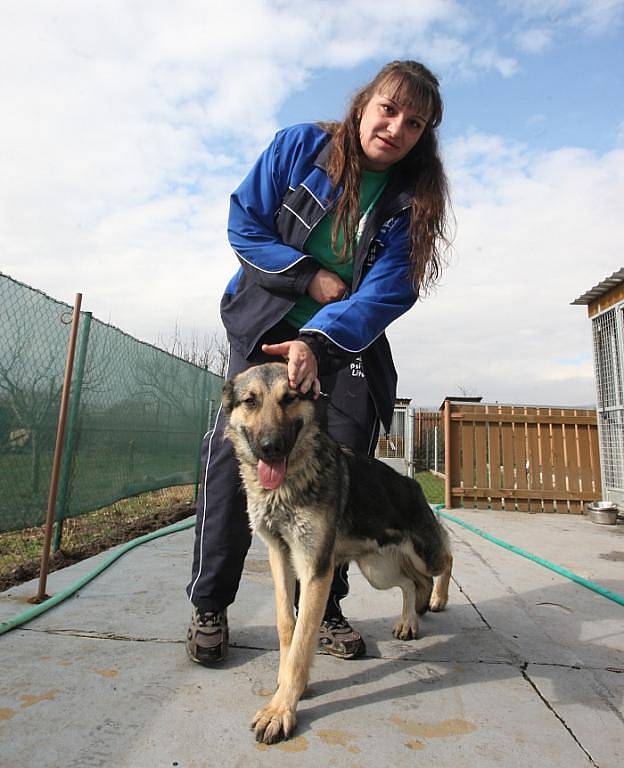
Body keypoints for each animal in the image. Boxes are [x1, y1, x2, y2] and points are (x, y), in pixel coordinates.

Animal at [222, 364, 450, 740]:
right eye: (251, 401)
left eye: (290, 398)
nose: (271, 448)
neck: (289, 483)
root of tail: (412, 483)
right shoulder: (281, 559)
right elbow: (287, 625)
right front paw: (287, 684)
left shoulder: (316, 570)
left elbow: (303, 640)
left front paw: (281, 709)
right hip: (377, 570)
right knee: (410, 583)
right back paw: (410, 619)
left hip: (423, 552)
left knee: (445, 558)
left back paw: (437, 599)